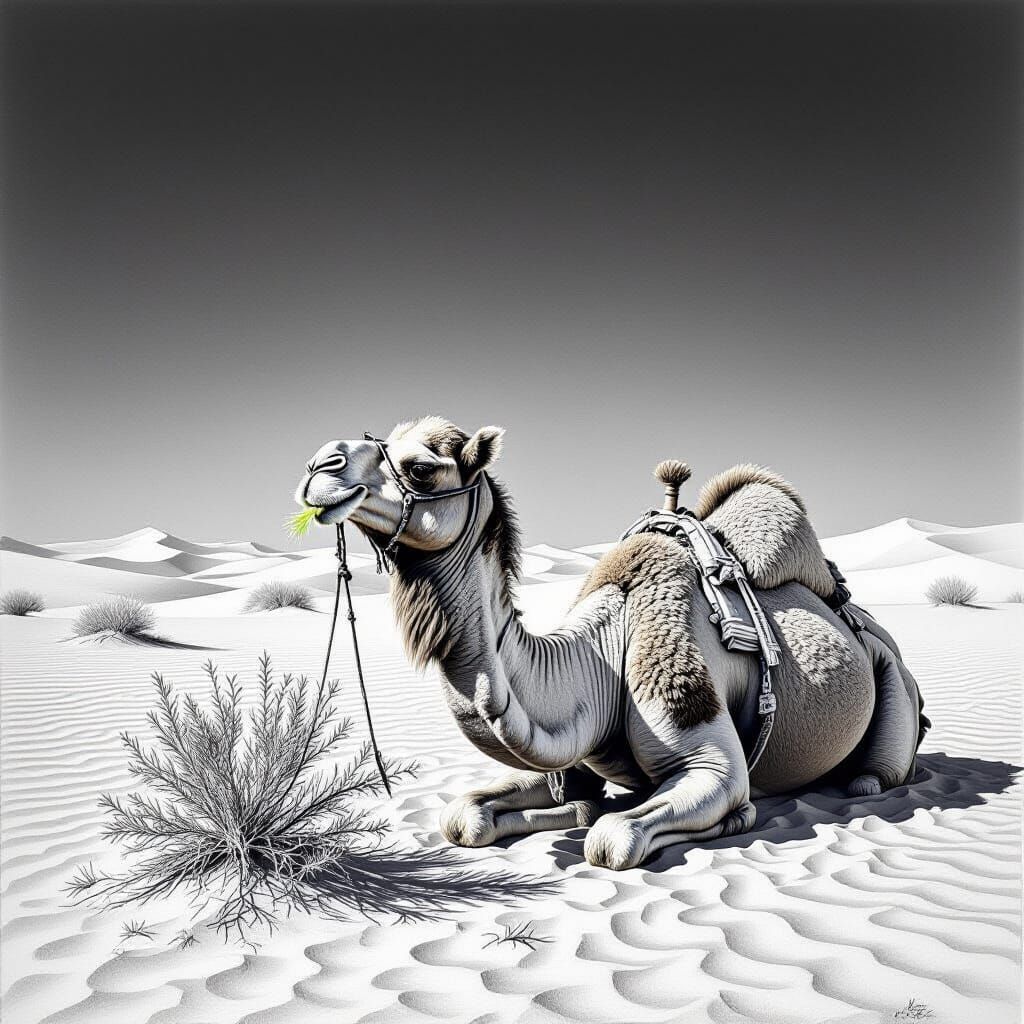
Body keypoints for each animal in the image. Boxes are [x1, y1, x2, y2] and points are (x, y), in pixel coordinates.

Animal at [295, 416, 927, 870]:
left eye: (422, 468)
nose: (318, 464)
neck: (603, 652)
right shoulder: (568, 753)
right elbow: (466, 816)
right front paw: (575, 806)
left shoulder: (712, 758)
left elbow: (613, 840)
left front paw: (735, 818)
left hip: (891, 675)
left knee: (881, 771)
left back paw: (863, 779)